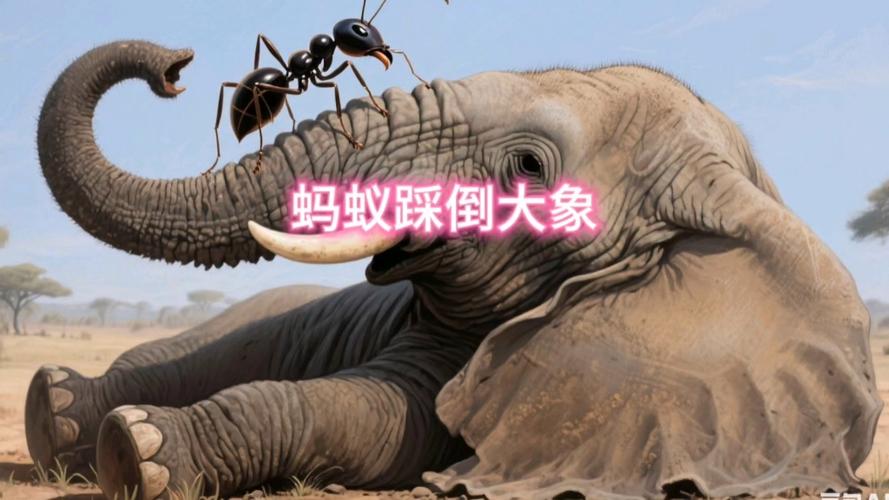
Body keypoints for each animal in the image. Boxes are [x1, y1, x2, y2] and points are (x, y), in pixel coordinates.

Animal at [26, 40, 881, 499]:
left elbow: (382, 426)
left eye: (529, 168)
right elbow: (376, 415)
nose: (174, 66)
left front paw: (140, 453)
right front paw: (135, 446)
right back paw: (58, 408)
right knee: (192, 352)